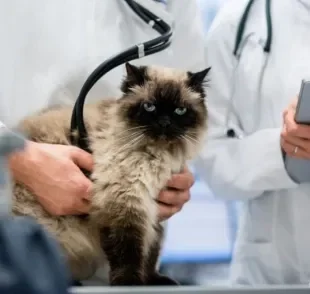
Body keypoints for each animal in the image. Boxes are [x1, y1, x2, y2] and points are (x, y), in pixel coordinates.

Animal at [12, 63, 211, 286]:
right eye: (149, 107)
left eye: (180, 110)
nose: (164, 123)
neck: (157, 155)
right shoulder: (125, 201)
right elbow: (127, 250)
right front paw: (130, 283)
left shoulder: (154, 207)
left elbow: (151, 250)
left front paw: (152, 279)